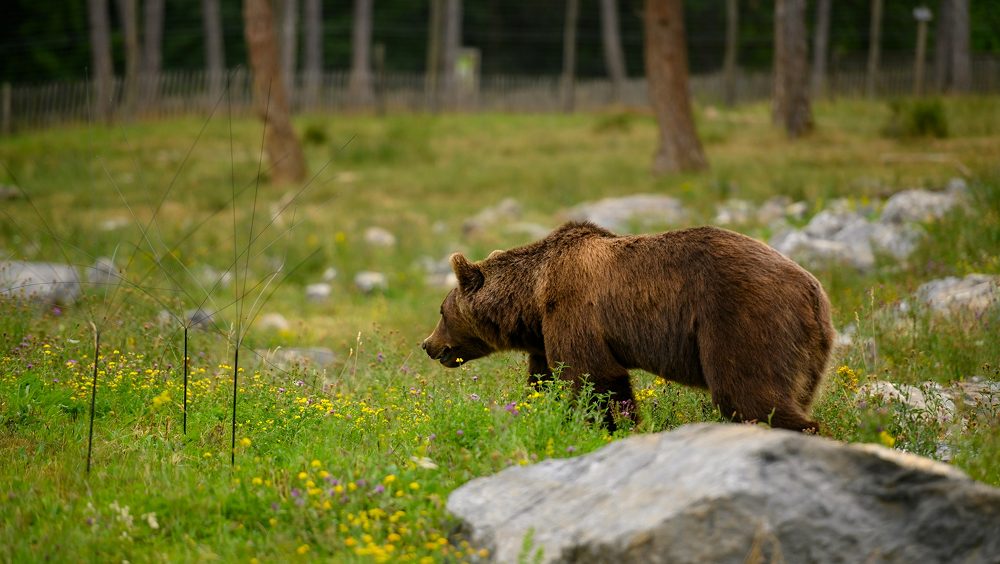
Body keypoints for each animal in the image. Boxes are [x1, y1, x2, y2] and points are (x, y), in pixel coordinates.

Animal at [421, 221, 835, 433]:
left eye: (441, 311)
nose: (427, 344)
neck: (533, 301)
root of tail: (814, 292)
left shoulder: (575, 311)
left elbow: (594, 377)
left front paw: (609, 427)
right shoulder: (544, 335)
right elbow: (545, 382)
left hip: (742, 320)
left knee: (749, 395)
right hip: (805, 353)